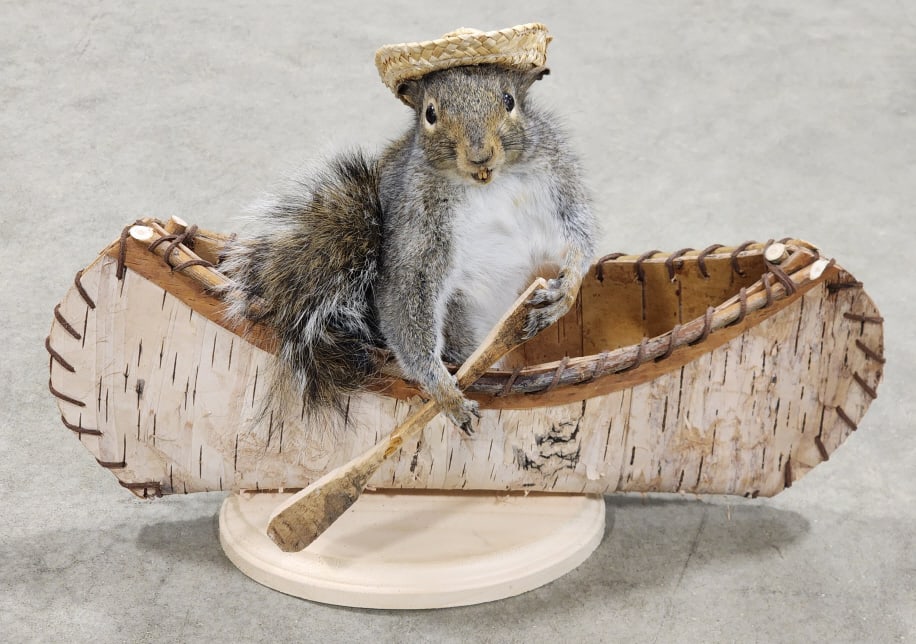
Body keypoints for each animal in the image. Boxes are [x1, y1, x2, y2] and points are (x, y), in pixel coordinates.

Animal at [220, 63, 596, 433]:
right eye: (430, 113)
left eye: (509, 101)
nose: (480, 156)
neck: (488, 184)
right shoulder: (417, 224)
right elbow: (406, 295)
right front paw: (443, 391)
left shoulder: (556, 182)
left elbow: (578, 236)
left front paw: (566, 291)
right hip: (461, 318)